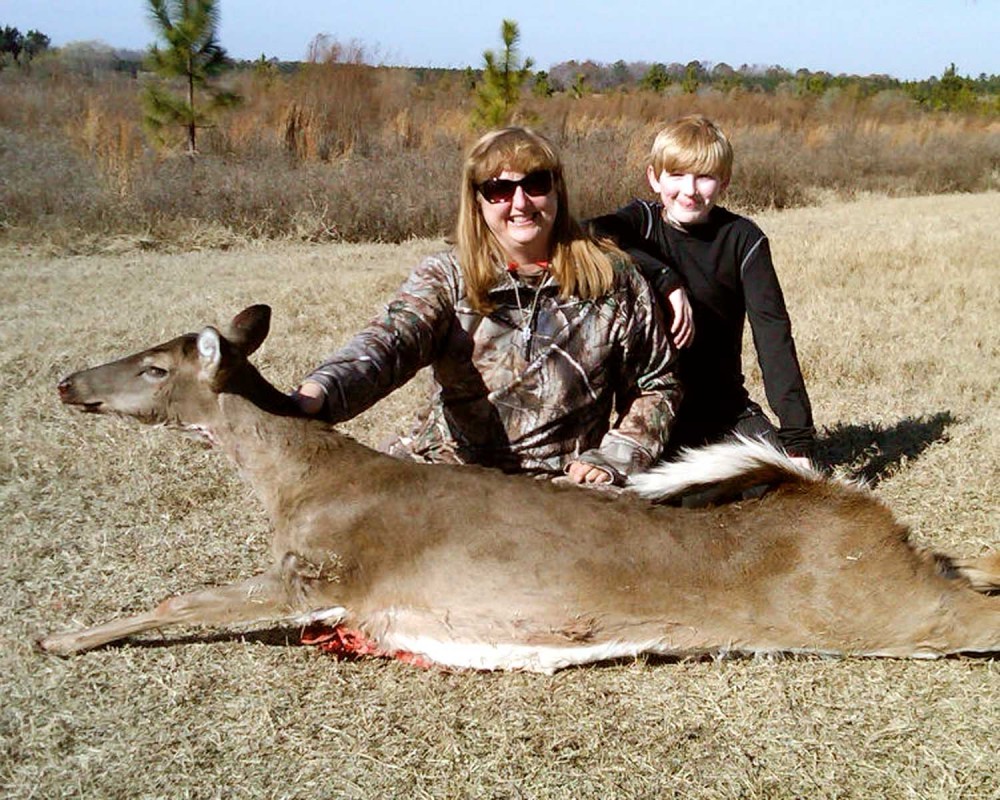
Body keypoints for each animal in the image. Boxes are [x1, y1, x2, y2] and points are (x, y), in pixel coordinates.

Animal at [39, 304, 1000, 672]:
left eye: (154, 365)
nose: (67, 383)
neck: (295, 485)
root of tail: (849, 507)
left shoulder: (321, 572)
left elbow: (180, 599)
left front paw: (57, 639)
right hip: (893, 579)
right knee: (965, 558)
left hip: (873, 607)